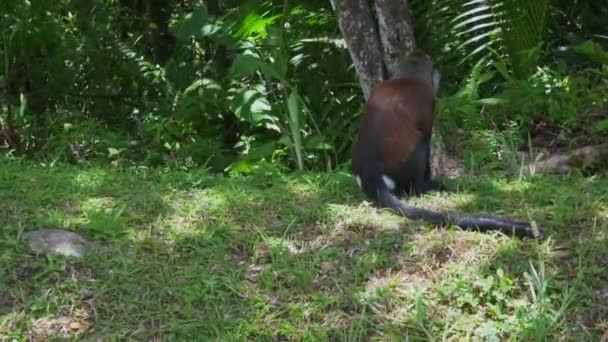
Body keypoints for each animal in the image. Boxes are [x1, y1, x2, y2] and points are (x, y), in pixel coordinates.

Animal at [354, 52, 544, 239]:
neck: (406, 79)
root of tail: (370, 174)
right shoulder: (428, 101)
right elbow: (426, 139)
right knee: (421, 146)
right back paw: (423, 186)